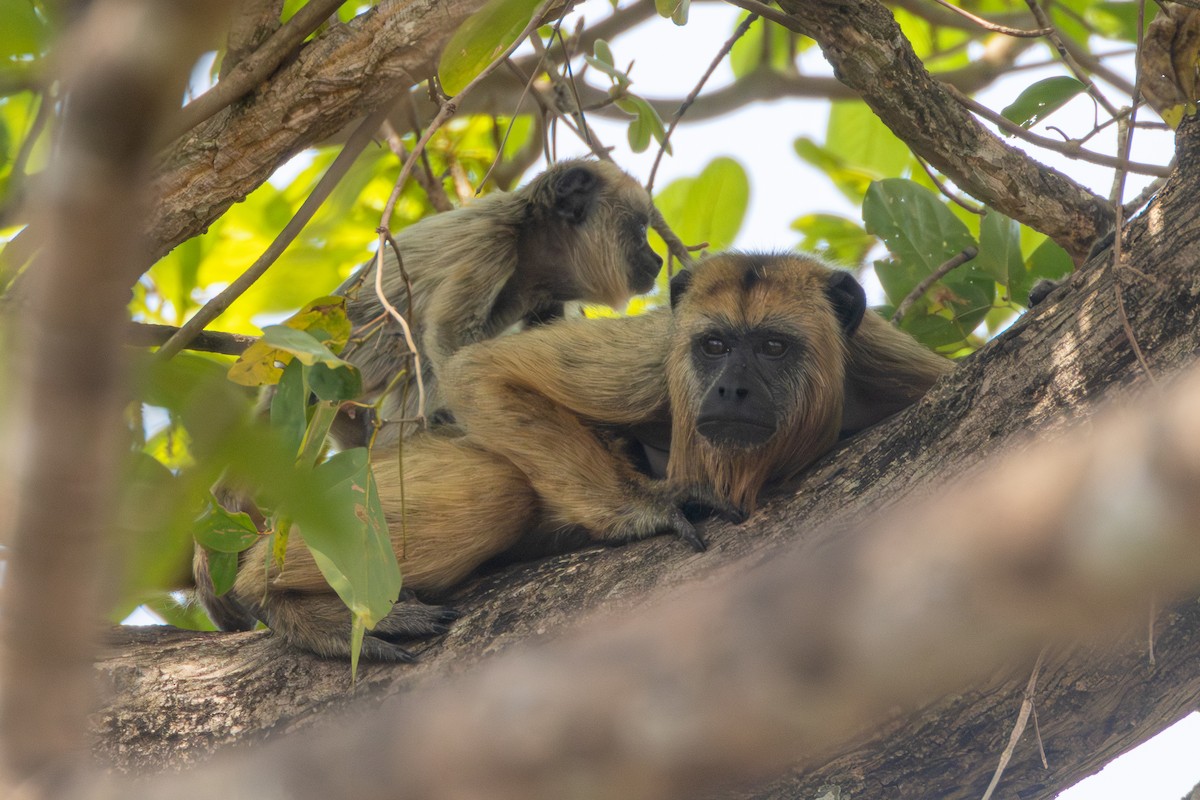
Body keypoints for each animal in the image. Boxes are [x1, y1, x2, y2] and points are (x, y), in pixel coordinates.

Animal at [209, 253, 952, 661]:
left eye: (773, 346)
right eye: (714, 345)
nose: (731, 388)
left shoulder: (888, 361)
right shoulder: (654, 354)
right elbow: (484, 372)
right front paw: (647, 509)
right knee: (497, 486)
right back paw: (278, 598)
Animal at [331, 158, 662, 447]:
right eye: (641, 230)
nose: (658, 259)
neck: (531, 252)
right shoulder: (490, 243)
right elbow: (451, 335)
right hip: (355, 357)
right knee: (409, 345)